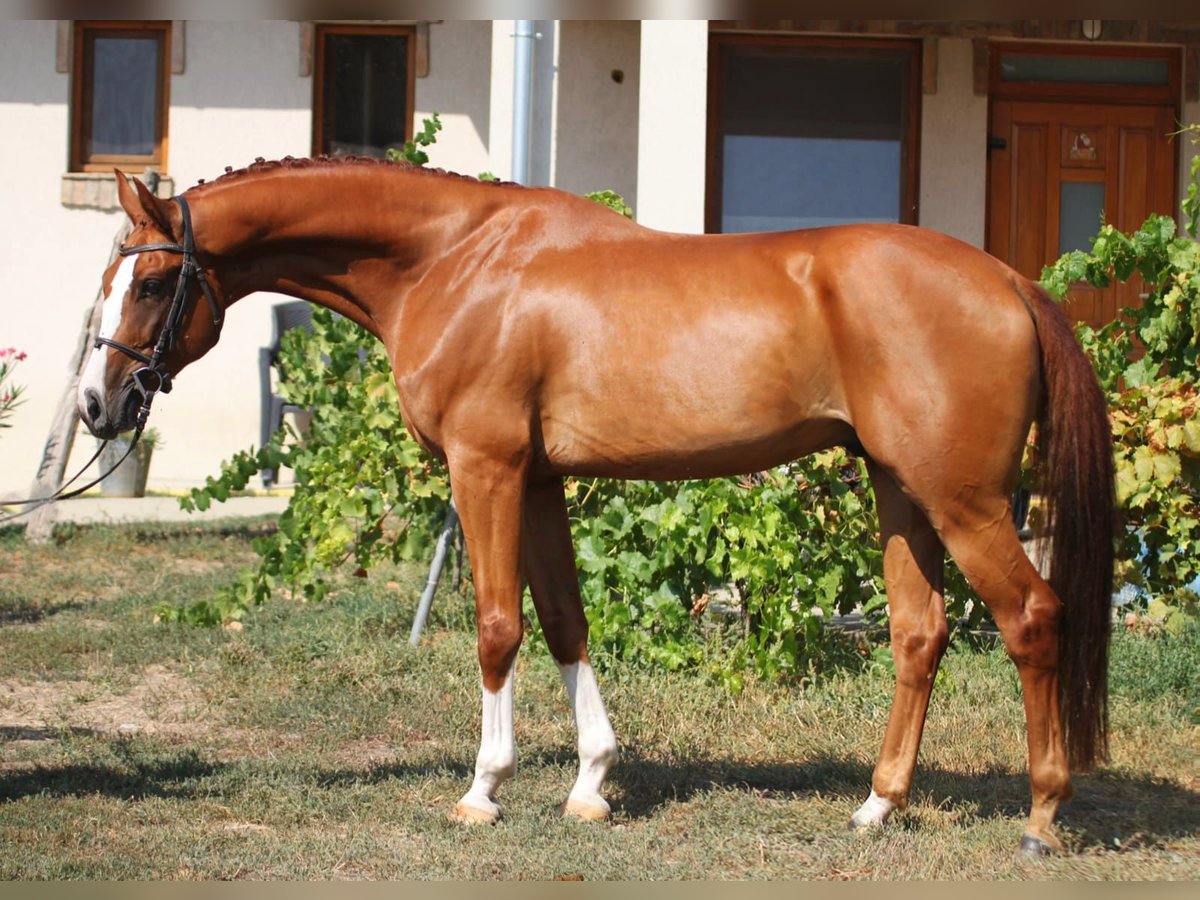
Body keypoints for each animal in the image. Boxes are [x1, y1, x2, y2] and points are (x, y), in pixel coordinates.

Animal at [79, 162, 1113, 859]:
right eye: (111, 279)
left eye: (153, 282)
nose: (98, 405)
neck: (457, 260)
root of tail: (1010, 281)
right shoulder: (538, 481)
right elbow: (565, 622)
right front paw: (590, 785)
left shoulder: (488, 470)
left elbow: (499, 627)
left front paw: (483, 790)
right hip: (901, 491)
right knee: (919, 632)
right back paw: (878, 805)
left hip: (963, 501)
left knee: (1031, 618)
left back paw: (1041, 818)